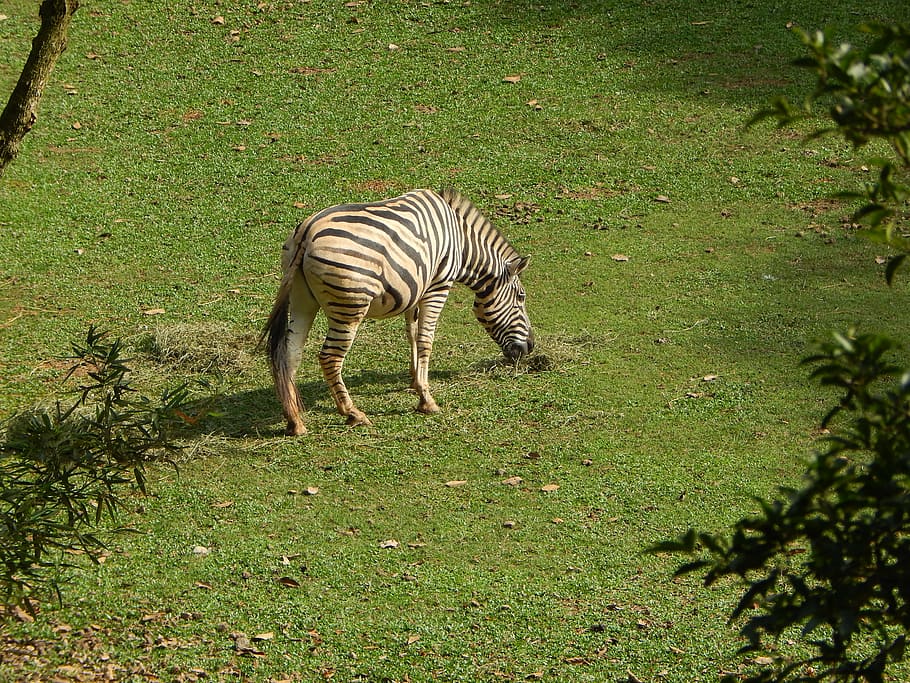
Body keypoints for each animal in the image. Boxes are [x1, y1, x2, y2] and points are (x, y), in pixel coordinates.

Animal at [262, 187, 536, 436]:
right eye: (521, 297)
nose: (530, 347)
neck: (461, 241)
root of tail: (307, 231)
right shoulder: (438, 286)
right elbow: (426, 340)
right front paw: (426, 400)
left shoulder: (417, 288)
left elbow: (412, 334)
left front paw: (415, 382)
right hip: (350, 307)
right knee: (330, 357)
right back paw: (353, 413)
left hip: (302, 298)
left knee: (290, 353)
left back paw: (295, 421)